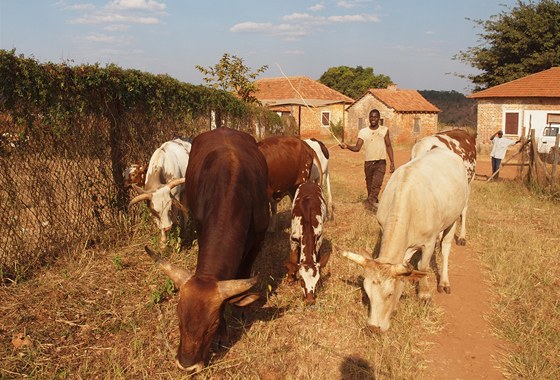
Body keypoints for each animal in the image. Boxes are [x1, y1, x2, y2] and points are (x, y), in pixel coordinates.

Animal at [342, 148, 468, 332]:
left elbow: (423, 267)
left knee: (445, 247)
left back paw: (444, 281)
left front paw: (424, 294)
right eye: (367, 293)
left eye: (390, 294)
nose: (374, 328)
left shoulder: (428, 241)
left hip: (453, 218)